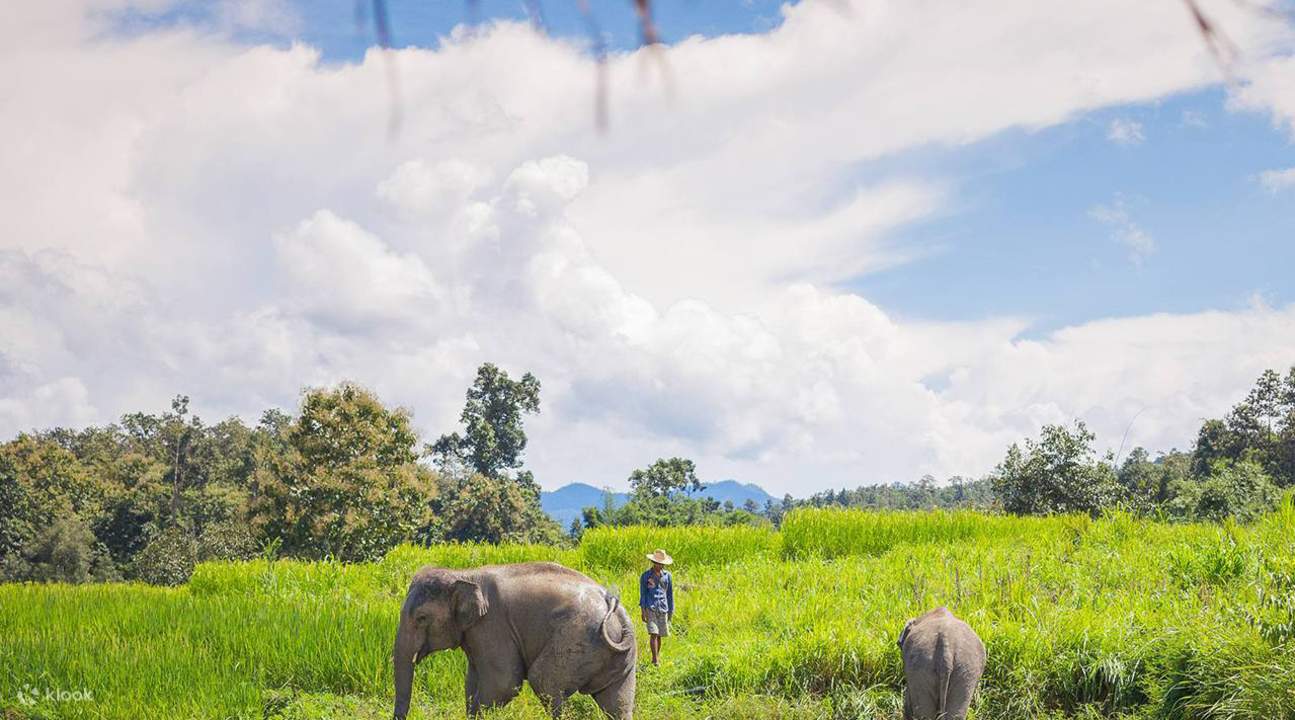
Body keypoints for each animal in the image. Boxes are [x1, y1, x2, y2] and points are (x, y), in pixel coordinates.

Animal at [392, 561, 637, 720]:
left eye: (421, 618)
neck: (463, 574)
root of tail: (611, 602)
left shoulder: (492, 625)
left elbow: (504, 684)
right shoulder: (475, 632)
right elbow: (472, 682)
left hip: (577, 636)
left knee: (545, 681)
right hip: (619, 656)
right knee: (617, 702)